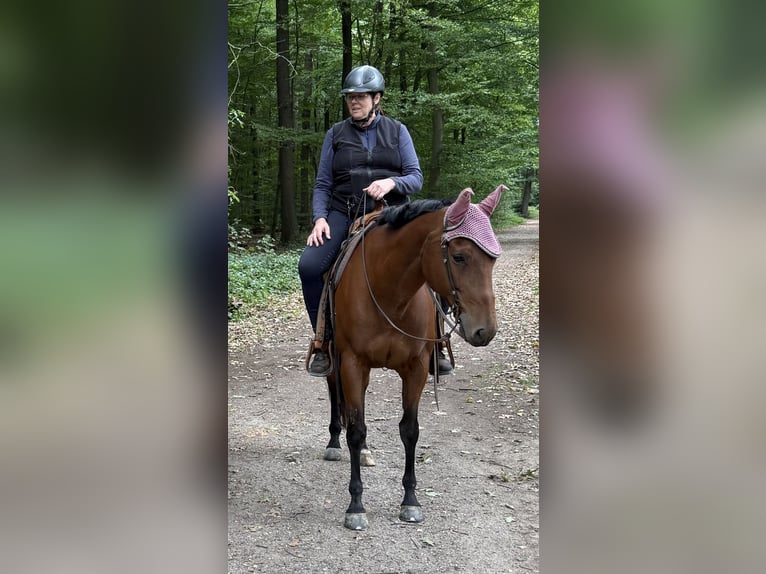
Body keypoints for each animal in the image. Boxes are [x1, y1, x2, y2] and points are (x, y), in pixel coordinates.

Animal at [323, 185, 506, 530]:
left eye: (492, 260)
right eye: (459, 257)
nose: (484, 330)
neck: (389, 292)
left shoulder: (416, 368)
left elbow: (409, 430)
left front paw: (410, 501)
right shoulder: (352, 363)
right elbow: (356, 428)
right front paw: (356, 505)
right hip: (334, 360)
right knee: (335, 394)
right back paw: (333, 443)